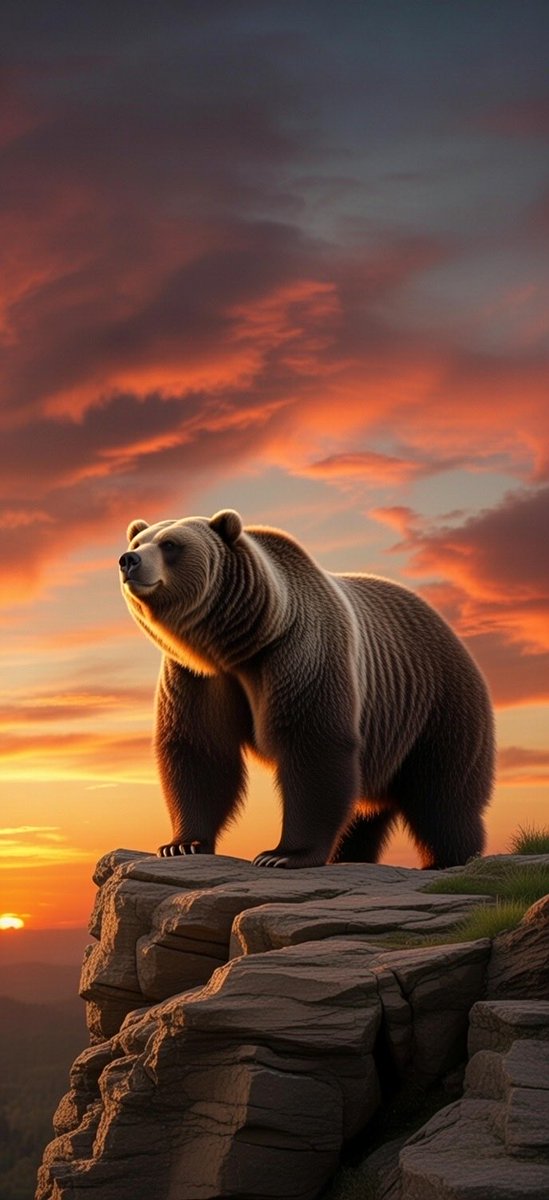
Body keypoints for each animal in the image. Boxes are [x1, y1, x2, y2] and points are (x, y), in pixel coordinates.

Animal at [119, 509, 494, 869]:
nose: (128, 560)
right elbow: (199, 749)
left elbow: (313, 744)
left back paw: (448, 858)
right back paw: (351, 854)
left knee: (443, 793)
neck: (235, 645)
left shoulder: (299, 653)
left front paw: (282, 854)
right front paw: (182, 844)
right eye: (139, 541)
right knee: (368, 808)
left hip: (435, 703)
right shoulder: (196, 675)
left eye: (170, 544)